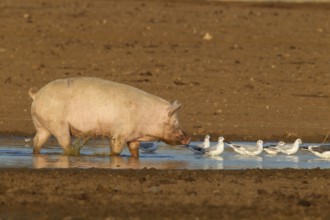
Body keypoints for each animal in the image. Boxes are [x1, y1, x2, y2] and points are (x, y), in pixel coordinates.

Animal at [30, 76, 192, 157]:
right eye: (174, 121)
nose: (188, 137)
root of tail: (37, 96)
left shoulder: (133, 137)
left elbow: (135, 151)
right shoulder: (120, 133)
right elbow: (116, 150)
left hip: (42, 125)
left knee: (37, 141)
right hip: (58, 124)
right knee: (64, 143)